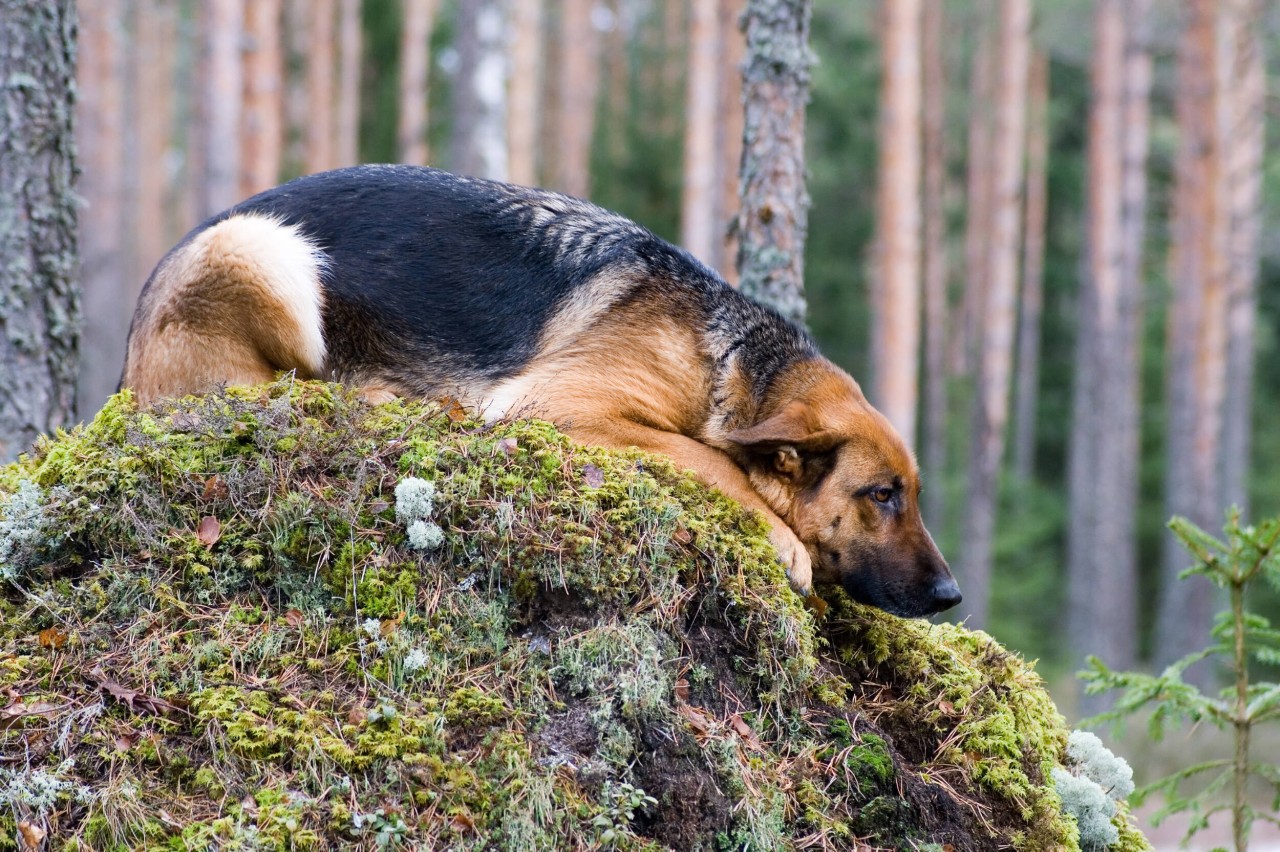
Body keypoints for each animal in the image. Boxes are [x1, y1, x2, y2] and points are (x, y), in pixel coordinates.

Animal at [122, 163, 962, 616]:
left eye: (911, 494)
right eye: (882, 495)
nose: (953, 597)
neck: (727, 358)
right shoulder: (564, 404)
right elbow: (712, 459)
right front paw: (780, 535)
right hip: (268, 252)